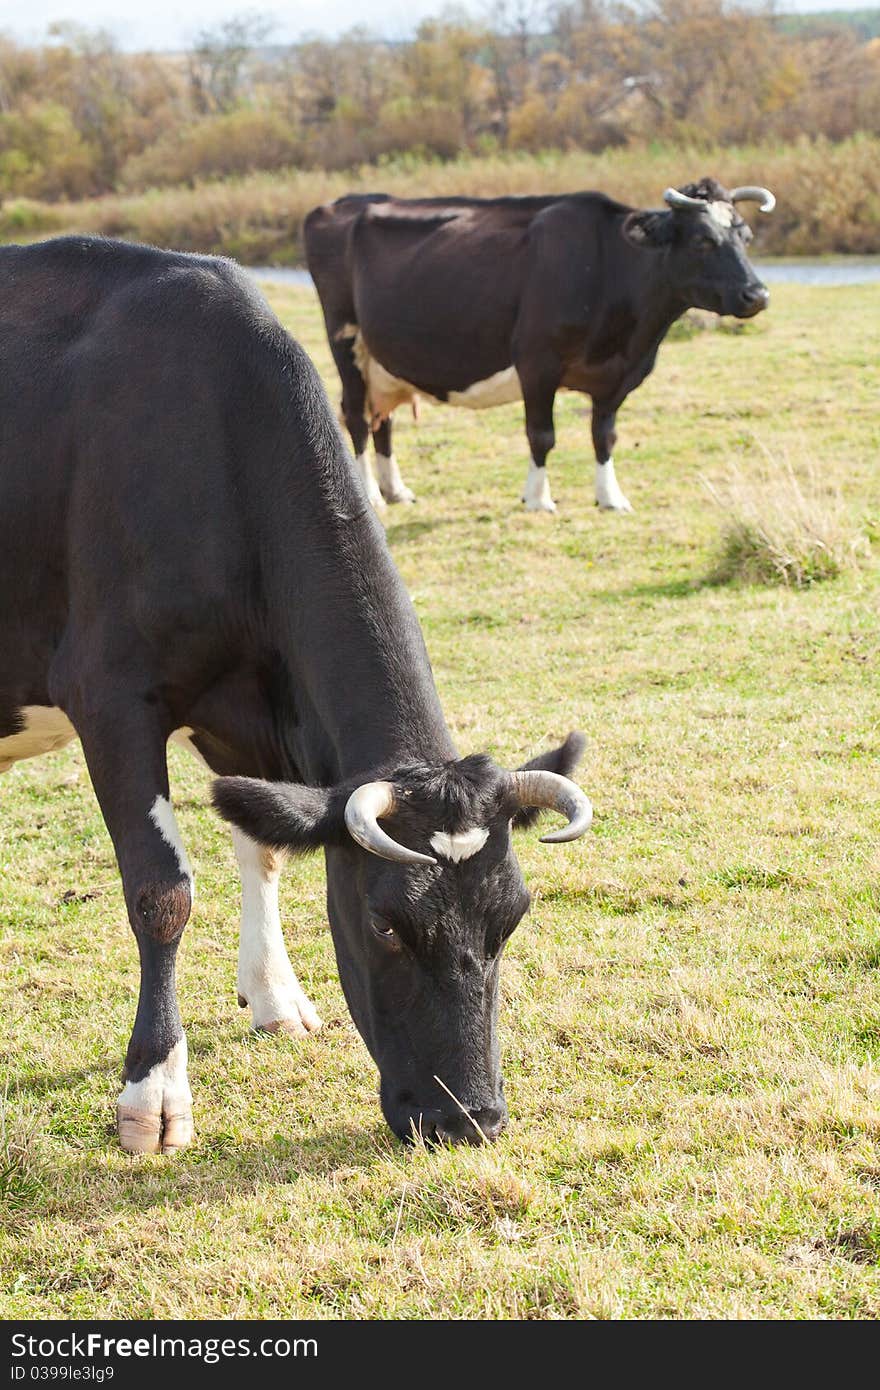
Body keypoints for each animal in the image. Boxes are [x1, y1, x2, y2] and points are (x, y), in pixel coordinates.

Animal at [3, 236, 589, 1150]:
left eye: (514, 915)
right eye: (386, 922)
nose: (470, 1118)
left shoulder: (245, 710)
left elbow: (264, 842)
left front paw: (275, 998)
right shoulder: (110, 696)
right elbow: (161, 891)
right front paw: (154, 1093)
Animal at [305, 177, 772, 517]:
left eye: (746, 237)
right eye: (702, 240)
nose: (757, 294)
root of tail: (343, 203)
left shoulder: (618, 376)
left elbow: (605, 435)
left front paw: (610, 497)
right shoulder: (537, 362)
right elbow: (542, 435)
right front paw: (538, 499)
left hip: (383, 359)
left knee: (383, 419)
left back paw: (396, 490)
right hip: (345, 338)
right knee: (356, 416)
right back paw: (370, 495)